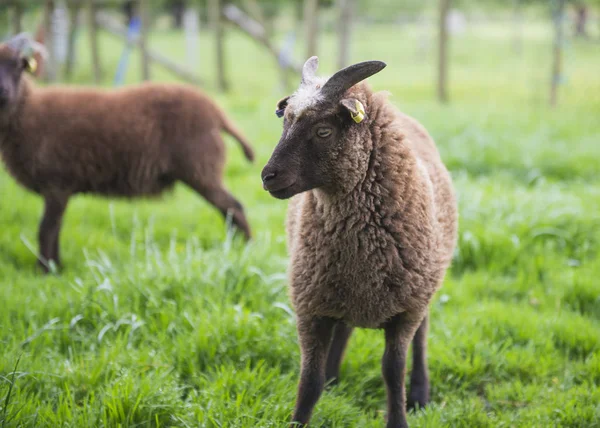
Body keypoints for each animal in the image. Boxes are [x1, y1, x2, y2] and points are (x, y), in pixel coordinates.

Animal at [0, 35, 253, 272]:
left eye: (18, 65)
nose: (3, 91)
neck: (27, 112)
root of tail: (217, 113)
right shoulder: (58, 188)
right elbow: (54, 229)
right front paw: (55, 267)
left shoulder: (56, 183)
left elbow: (46, 230)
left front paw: (46, 271)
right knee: (229, 209)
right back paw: (235, 248)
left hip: (200, 168)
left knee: (234, 207)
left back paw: (245, 249)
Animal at [260, 56, 458, 428]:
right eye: (285, 121)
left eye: (324, 131)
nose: (268, 177)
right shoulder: (311, 306)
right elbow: (309, 380)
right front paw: (301, 417)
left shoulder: (405, 310)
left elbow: (393, 371)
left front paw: (399, 417)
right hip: (340, 293)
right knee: (344, 330)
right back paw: (334, 379)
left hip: (424, 282)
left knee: (422, 336)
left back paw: (420, 393)